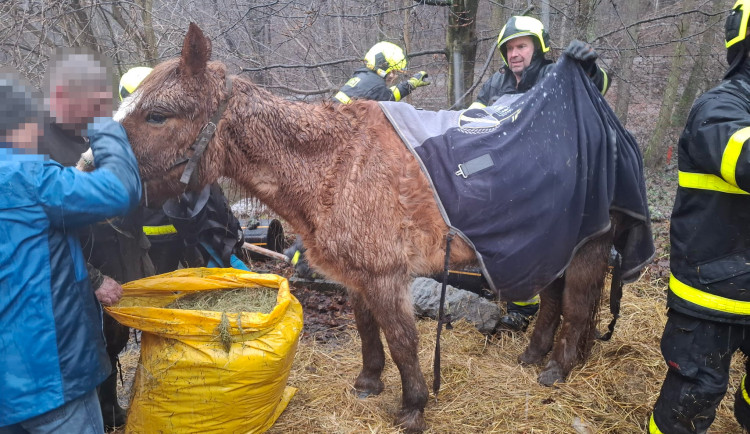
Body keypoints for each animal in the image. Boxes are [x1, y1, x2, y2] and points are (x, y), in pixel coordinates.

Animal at [119, 22, 624, 430]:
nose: (98, 166)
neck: (338, 166)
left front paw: (414, 407)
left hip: (586, 245)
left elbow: (402, 340)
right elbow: (366, 327)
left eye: (157, 115)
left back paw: (557, 368)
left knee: (576, 305)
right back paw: (534, 355)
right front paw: (369, 381)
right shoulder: (357, 276)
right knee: (553, 299)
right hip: (552, 241)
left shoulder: (386, 277)